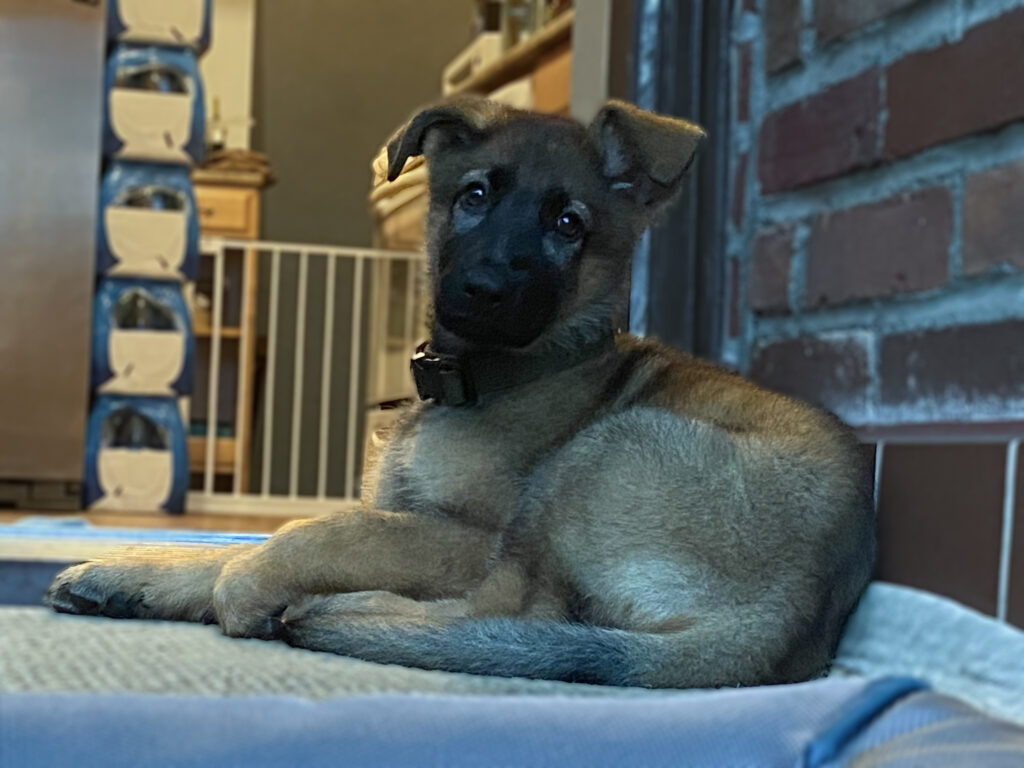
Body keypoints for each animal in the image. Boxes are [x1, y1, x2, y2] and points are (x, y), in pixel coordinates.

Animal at [46, 97, 875, 689]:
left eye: (568, 223)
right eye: (473, 196)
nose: (483, 289)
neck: (483, 376)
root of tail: (794, 609)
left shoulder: (464, 532)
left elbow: (318, 531)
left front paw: (251, 587)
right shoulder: (408, 509)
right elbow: (233, 541)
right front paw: (134, 572)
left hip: (604, 451)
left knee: (514, 609)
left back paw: (339, 611)